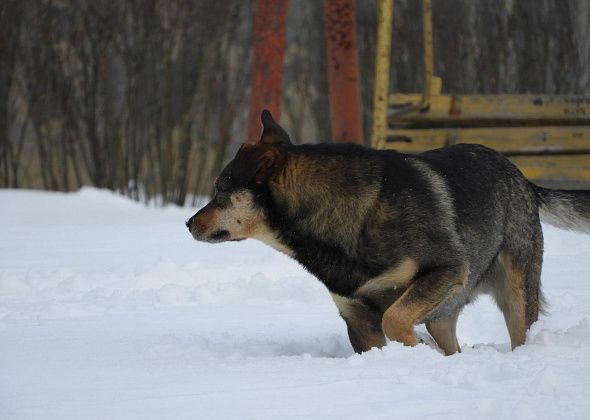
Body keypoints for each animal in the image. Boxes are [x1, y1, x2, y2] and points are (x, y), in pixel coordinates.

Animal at [187, 109, 590, 354]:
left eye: (220, 192)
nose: (188, 223)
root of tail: (522, 177)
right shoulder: (357, 318)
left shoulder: (445, 269)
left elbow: (394, 317)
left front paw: (416, 348)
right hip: (444, 314)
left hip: (516, 295)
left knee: (521, 332)